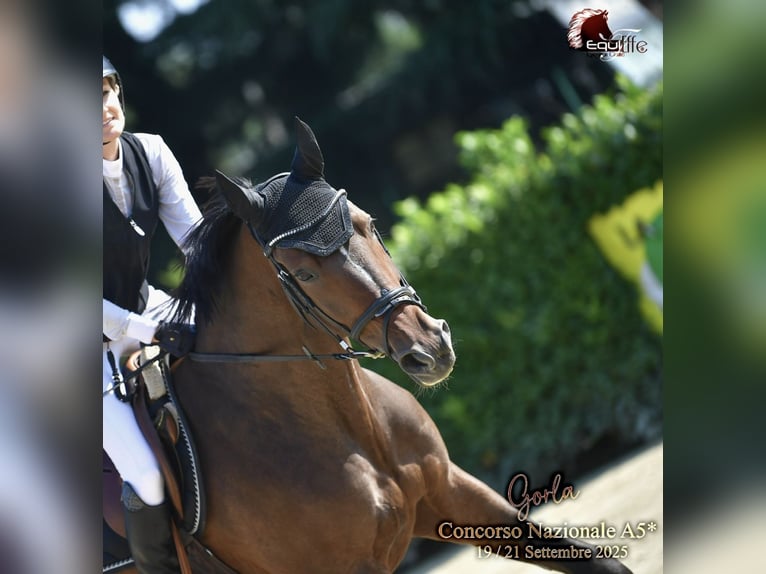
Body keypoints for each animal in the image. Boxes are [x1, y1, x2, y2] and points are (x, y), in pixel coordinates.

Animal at [108, 118, 632, 574]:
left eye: (369, 223)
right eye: (303, 274)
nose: (430, 347)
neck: (355, 431)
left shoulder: (454, 493)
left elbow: (600, 563)